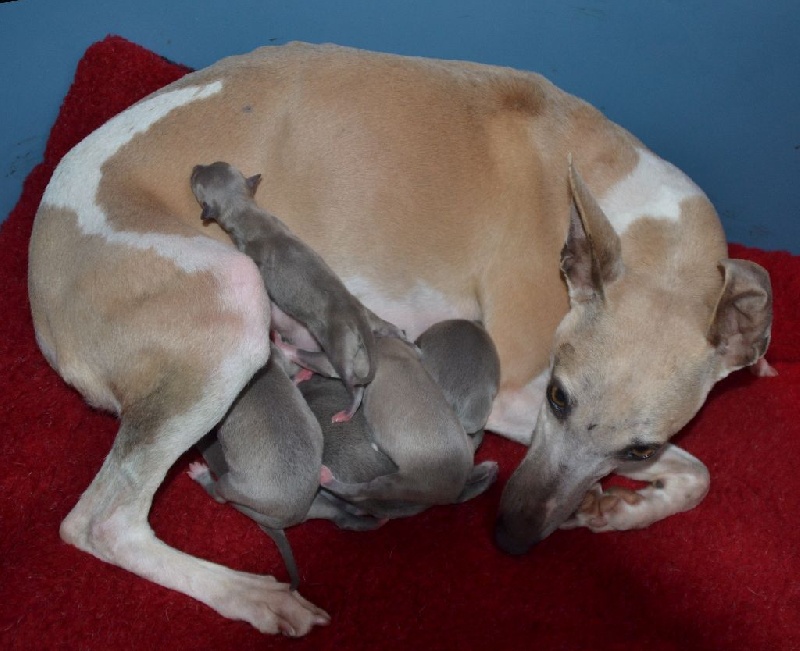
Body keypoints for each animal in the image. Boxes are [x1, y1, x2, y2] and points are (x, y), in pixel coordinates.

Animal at [188, 160, 400, 420]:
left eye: (196, 180)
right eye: (215, 164)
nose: (195, 166)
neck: (249, 214)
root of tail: (356, 314)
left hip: (339, 344)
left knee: (351, 380)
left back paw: (348, 408)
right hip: (373, 320)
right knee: (392, 329)